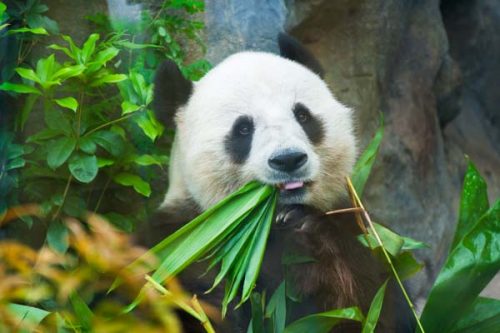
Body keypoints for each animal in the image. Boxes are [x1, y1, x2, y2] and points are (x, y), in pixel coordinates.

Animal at [143, 34, 416, 332]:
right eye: (243, 128)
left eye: (303, 116)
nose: (288, 159)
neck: (263, 228)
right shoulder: (179, 240)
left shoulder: (360, 229)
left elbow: (366, 309)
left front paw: (305, 228)